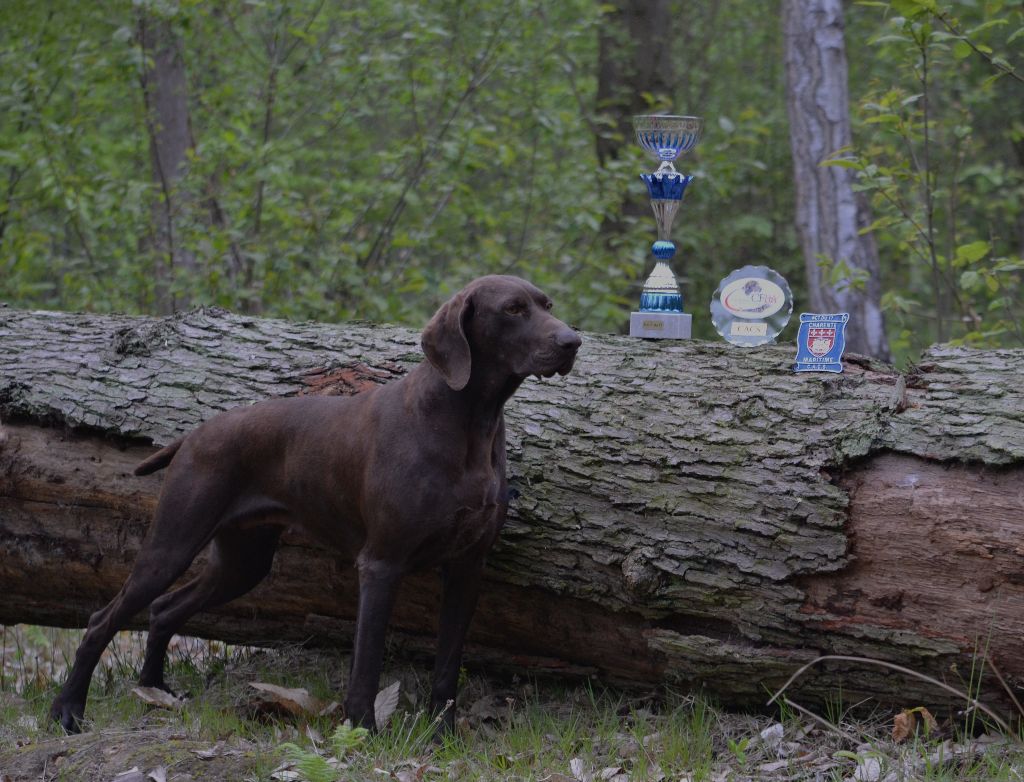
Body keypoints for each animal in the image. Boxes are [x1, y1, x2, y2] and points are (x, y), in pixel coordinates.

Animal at [48, 274, 585, 732]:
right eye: (513, 309)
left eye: (548, 305)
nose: (572, 342)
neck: (467, 424)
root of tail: (195, 434)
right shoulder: (382, 564)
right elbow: (366, 664)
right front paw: (363, 732)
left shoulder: (467, 566)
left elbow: (447, 668)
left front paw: (443, 735)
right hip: (172, 544)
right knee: (101, 621)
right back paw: (68, 711)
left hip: (242, 563)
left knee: (162, 610)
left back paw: (154, 692)